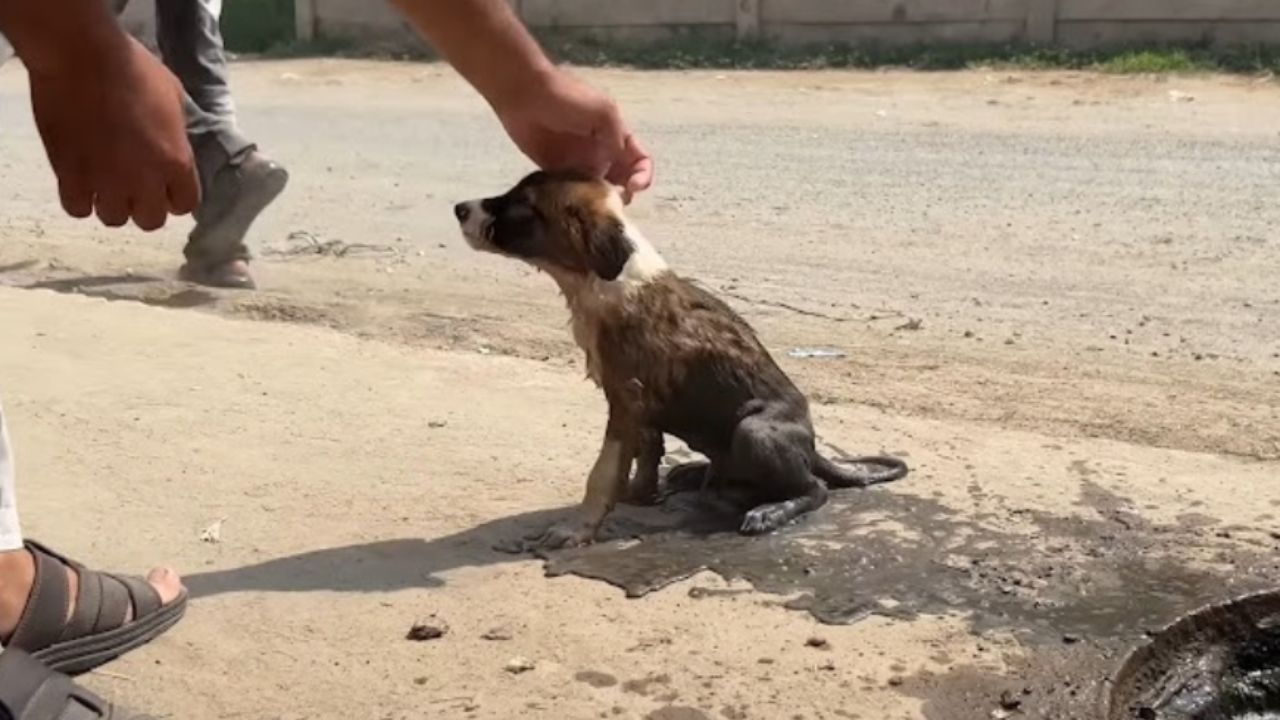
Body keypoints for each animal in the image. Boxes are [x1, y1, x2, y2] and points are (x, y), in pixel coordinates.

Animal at [455, 170, 906, 545]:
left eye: (520, 204)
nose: (458, 208)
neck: (605, 280)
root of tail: (812, 448)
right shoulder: (640, 404)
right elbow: (646, 450)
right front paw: (640, 494)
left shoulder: (626, 399)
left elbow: (603, 471)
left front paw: (578, 528)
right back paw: (703, 477)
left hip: (754, 430)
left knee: (815, 488)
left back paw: (767, 509)